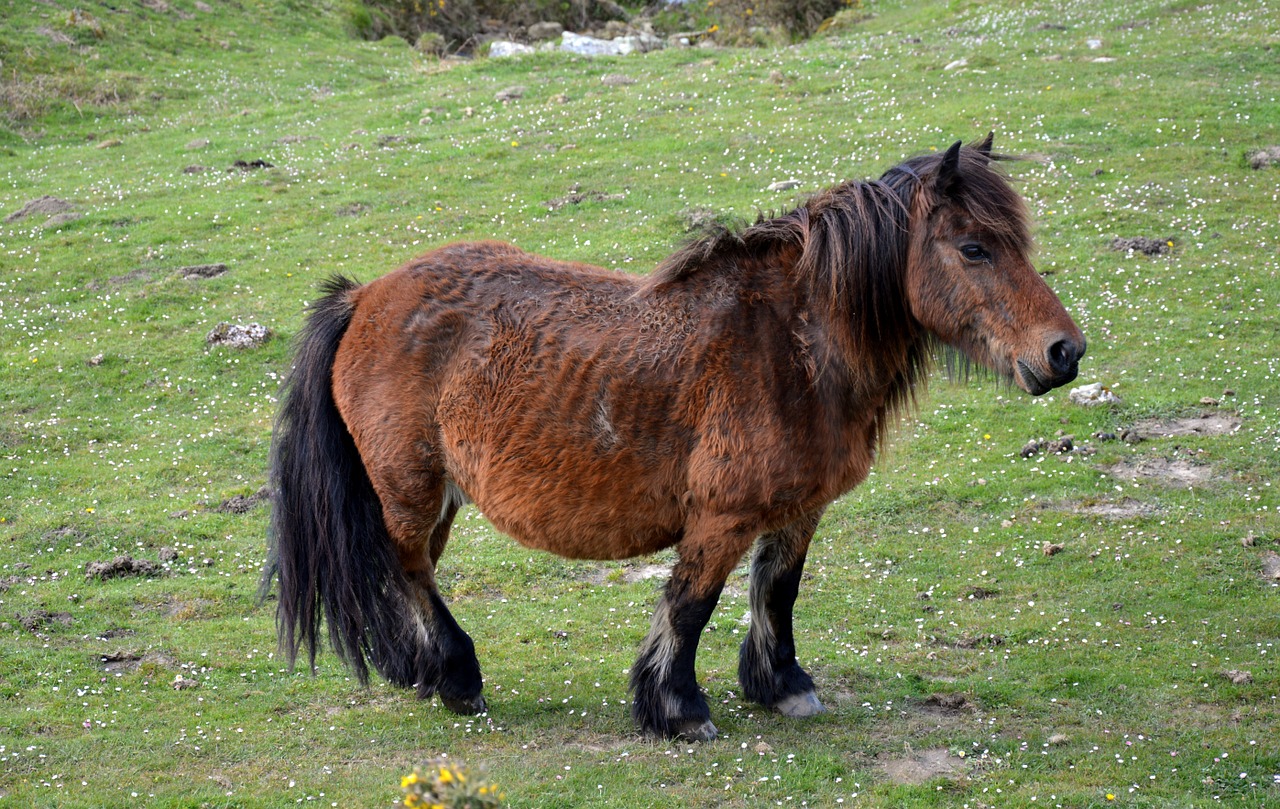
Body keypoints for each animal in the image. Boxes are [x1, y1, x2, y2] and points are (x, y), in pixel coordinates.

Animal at [264, 137, 1085, 737]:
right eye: (973, 248)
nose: (1064, 352)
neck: (790, 346)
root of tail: (365, 296)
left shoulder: (798, 509)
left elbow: (777, 592)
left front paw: (782, 685)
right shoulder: (720, 516)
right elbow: (691, 604)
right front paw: (678, 708)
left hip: (436, 496)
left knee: (412, 571)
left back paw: (423, 672)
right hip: (410, 488)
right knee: (408, 569)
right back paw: (458, 678)